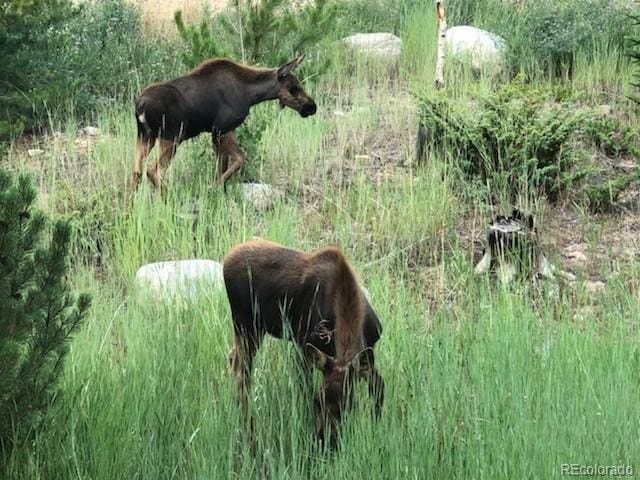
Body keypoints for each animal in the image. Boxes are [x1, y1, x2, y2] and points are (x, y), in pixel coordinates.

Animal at [132, 55, 318, 191]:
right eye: (294, 87)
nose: (312, 107)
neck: (251, 95)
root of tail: (140, 106)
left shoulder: (223, 132)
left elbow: (222, 164)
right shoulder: (221, 129)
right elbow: (239, 159)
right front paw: (214, 187)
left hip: (145, 137)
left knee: (136, 173)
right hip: (172, 136)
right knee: (153, 172)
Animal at [224, 242, 384, 448]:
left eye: (349, 405)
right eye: (318, 401)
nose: (325, 441)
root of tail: (227, 258)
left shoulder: (368, 354)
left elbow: (379, 388)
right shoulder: (304, 348)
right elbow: (304, 391)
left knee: (233, 358)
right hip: (246, 325)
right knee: (242, 370)